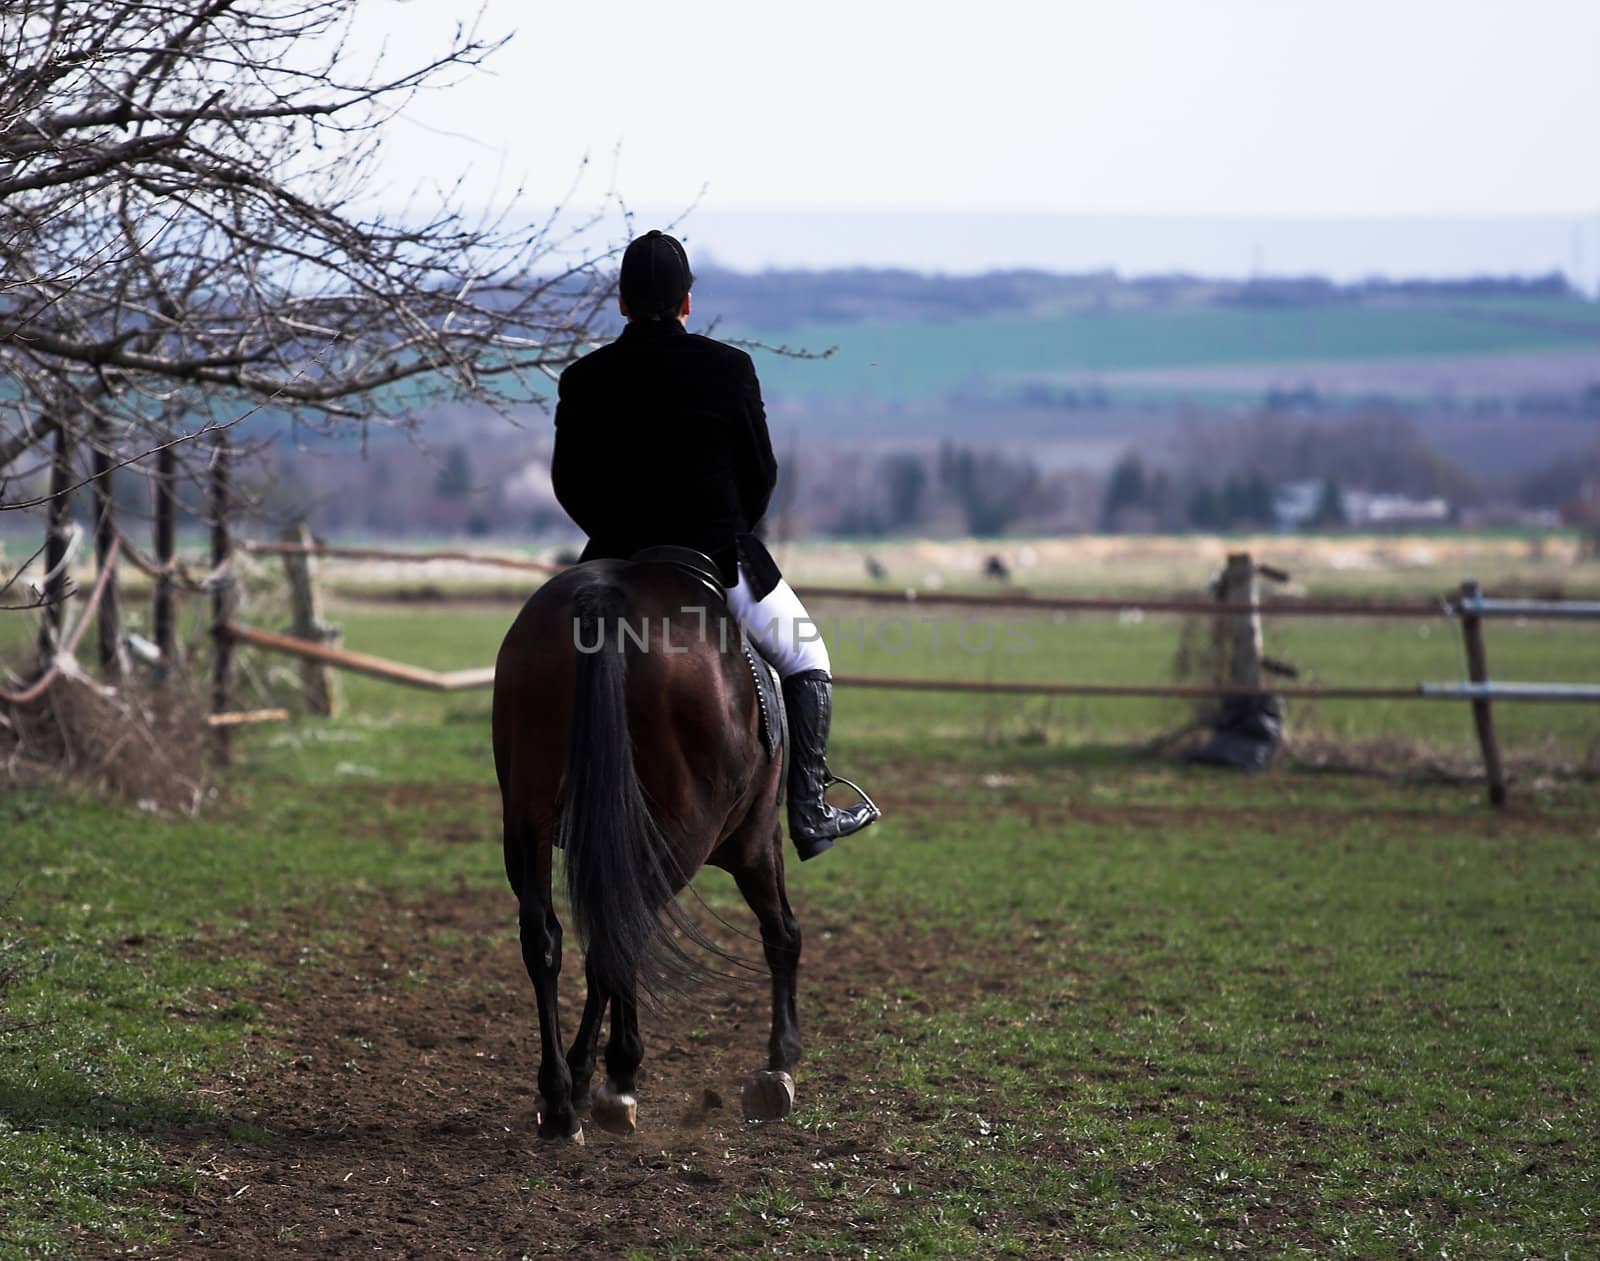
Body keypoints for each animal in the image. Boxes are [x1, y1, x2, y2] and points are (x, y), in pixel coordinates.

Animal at [489, 553, 800, 1145]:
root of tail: (606, 598)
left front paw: (580, 1080)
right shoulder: (756, 841)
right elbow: (782, 934)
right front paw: (782, 1059)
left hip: (525, 822)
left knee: (546, 940)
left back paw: (560, 1100)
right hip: (688, 833)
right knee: (625, 933)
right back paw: (617, 1082)